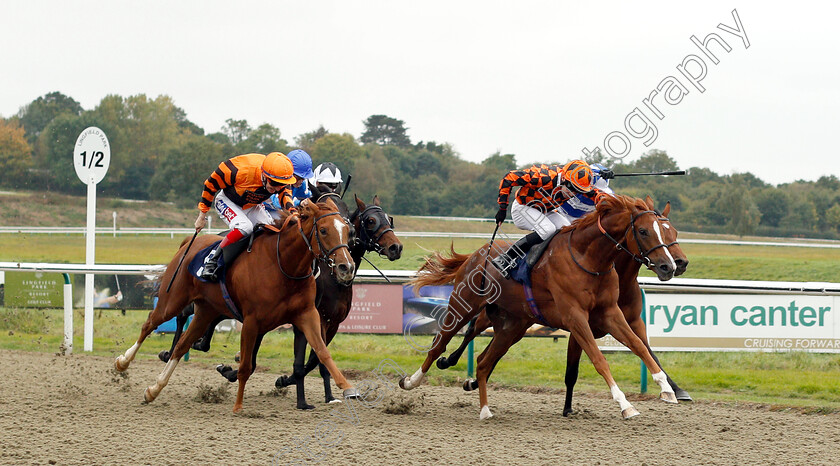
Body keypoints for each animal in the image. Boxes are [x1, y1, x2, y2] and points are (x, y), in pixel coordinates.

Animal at [115, 198, 358, 414]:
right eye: (324, 230)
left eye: (348, 230)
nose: (346, 267)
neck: (283, 265)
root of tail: (189, 243)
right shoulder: (251, 322)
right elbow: (245, 366)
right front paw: (238, 405)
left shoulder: (307, 314)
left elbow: (322, 352)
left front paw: (347, 387)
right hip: (172, 300)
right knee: (149, 324)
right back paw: (122, 363)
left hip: (206, 310)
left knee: (182, 344)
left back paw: (154, 390)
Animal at [400, 195, 684, 420]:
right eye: (644, 231)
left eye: (671, 233)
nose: (670, 266)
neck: (589, 258)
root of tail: (476, 254)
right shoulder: (575, 318)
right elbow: (599, 359)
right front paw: (625, 405)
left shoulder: (610, 313)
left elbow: (639, 346)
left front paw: (667, 389)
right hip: (463, 306)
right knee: (439, 345)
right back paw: (411, 381)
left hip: (512, 326)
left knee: (483, 362)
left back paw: (485, 410)